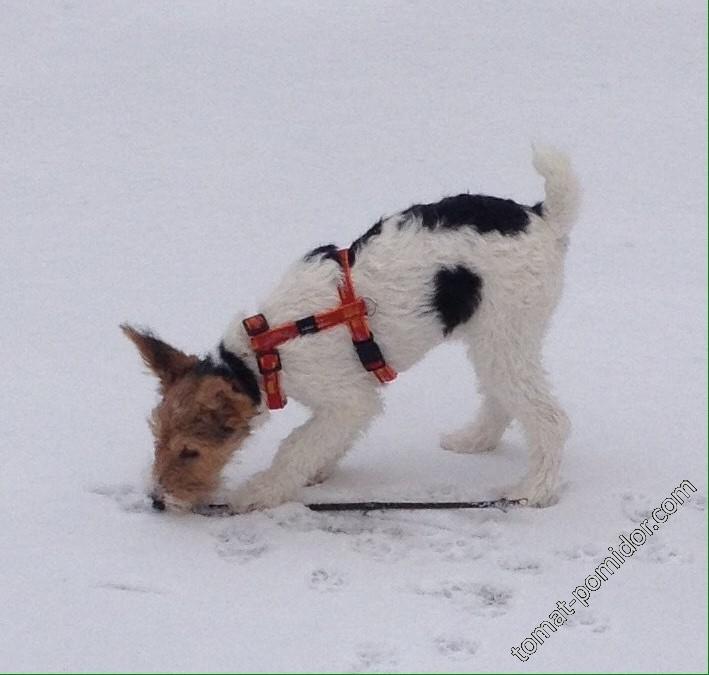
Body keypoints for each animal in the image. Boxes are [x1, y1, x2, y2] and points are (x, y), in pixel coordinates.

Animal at [124, 148, 580, 516]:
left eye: (191, 450)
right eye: (156, 436)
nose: (158, 501)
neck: (264, 354)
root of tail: (542, 217)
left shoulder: (348, 401)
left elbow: (296, 446)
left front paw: (259, 492)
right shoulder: (347, 404)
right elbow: (320, 443)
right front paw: (318, 469)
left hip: (505, 336)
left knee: (550, 418)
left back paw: (533, 491)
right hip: (492, 337)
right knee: (502, 399)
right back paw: (474, 440)